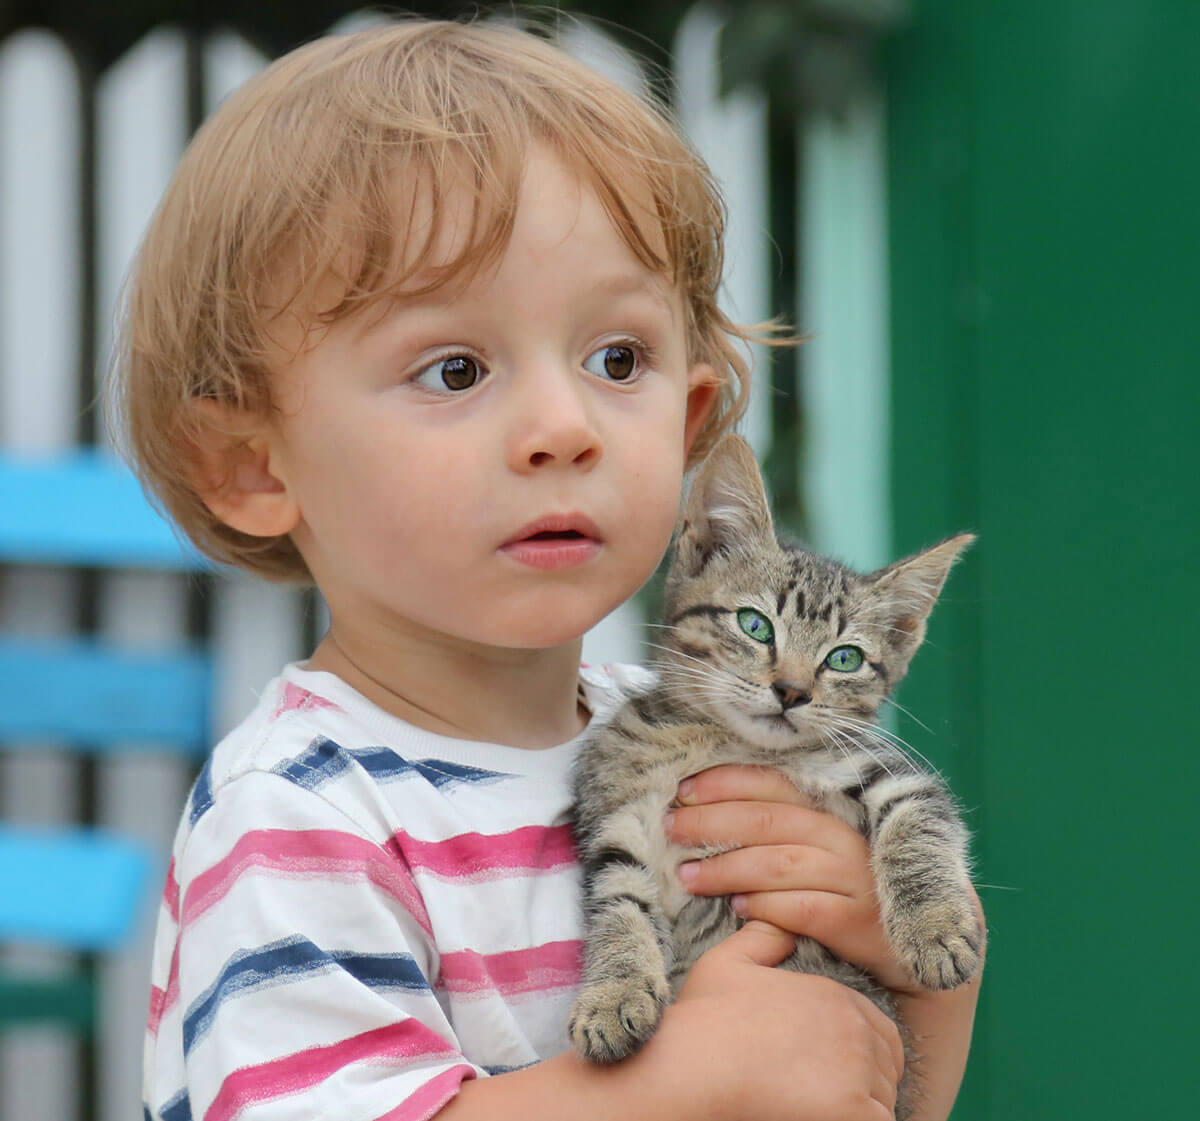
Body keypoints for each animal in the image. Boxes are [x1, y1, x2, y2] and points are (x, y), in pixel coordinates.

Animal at [566, 434, 979, 1118]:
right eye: (755, 625)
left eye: (845, 658)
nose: (791, 691)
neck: (728, 744)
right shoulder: (618, 817)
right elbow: (618, 907)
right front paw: (612, 996)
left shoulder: (885, 769)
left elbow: (918, 826)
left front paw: (936, 929)